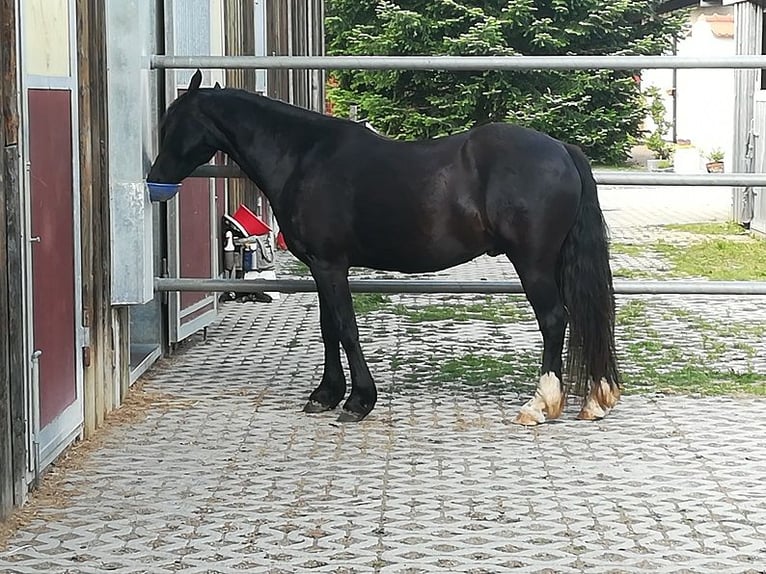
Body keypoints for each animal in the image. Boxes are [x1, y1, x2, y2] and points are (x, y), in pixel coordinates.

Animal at [148, 70, 621, 425]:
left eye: (175, 124)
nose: (155, 182)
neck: (303, 157)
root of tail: (561, 148)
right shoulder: (321, 267)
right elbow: (328, 327)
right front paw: (326, 394)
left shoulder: (330, 264)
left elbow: (346, 327)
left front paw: (358, 401)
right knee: (582, 313)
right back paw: (595, 399)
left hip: (533, 263)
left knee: (554, 319)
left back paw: (540, 404)